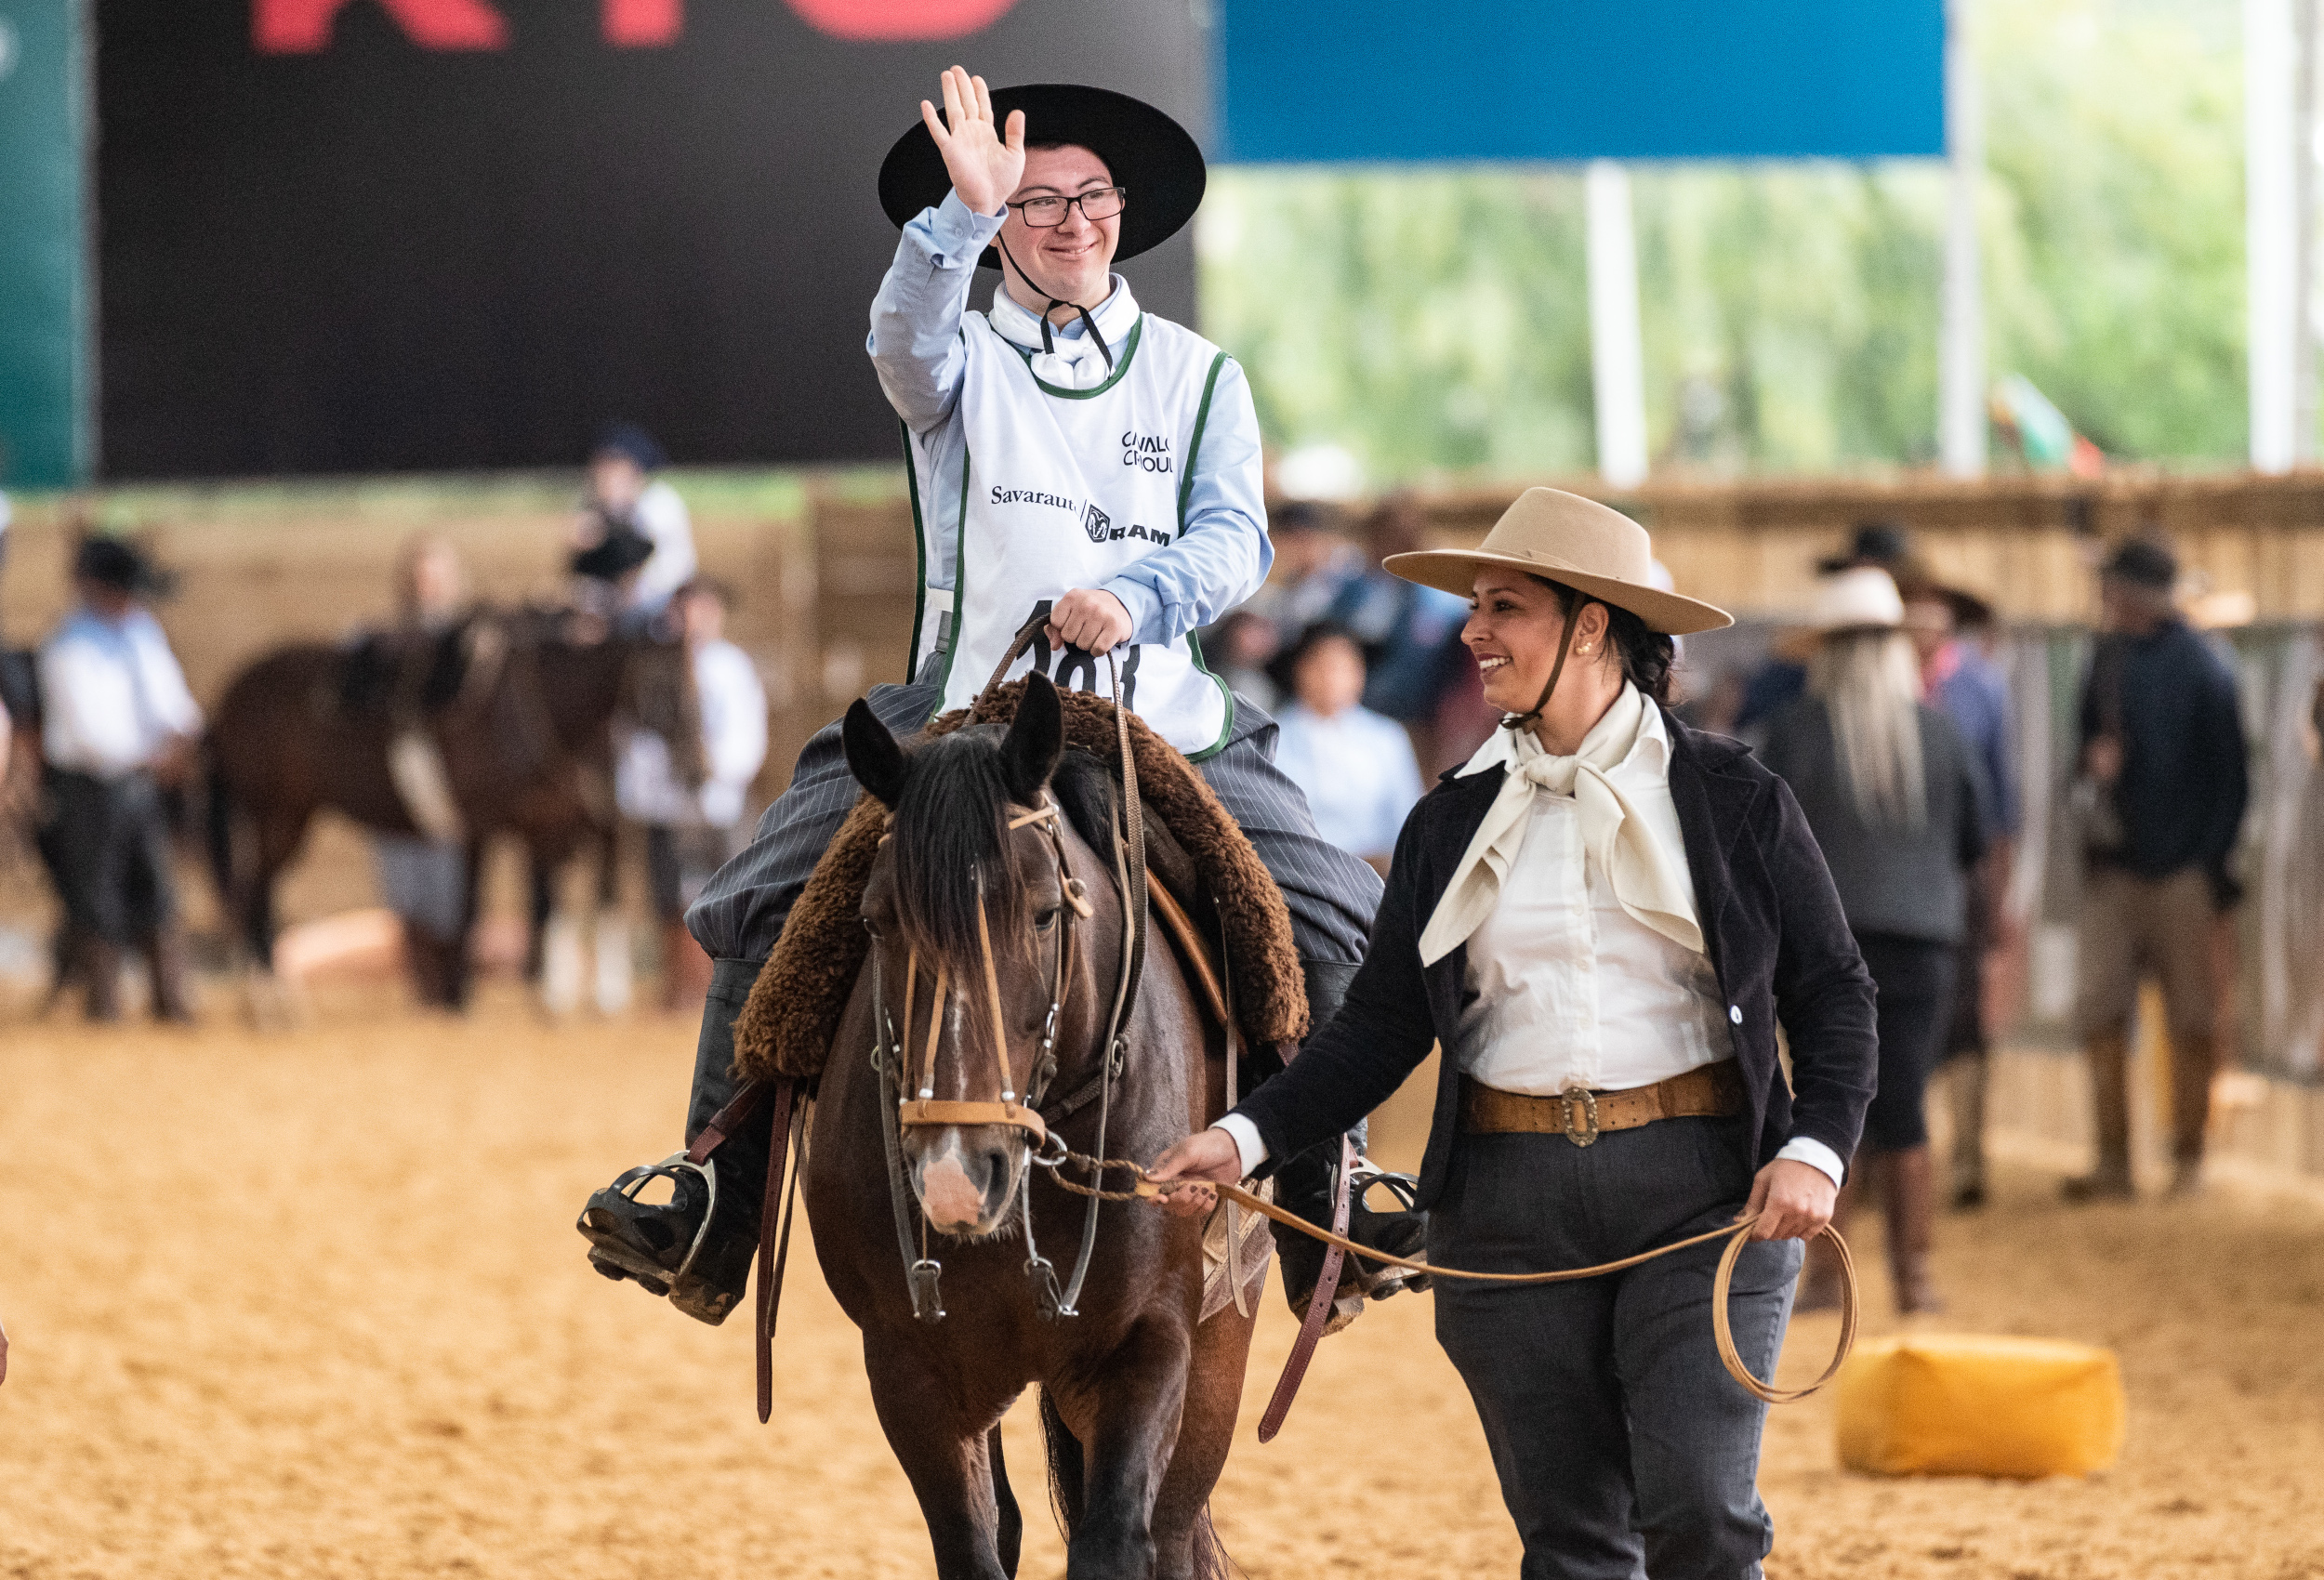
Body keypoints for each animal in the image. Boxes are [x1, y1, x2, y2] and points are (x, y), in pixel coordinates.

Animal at [809, 678, 1255, 1580]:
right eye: (876, 922)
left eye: (1046, 913)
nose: (954, 1176)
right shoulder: (908, 1367)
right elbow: (975, 1545)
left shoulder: (1148, 1347)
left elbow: (1116, 1541)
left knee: (1174, 1532)